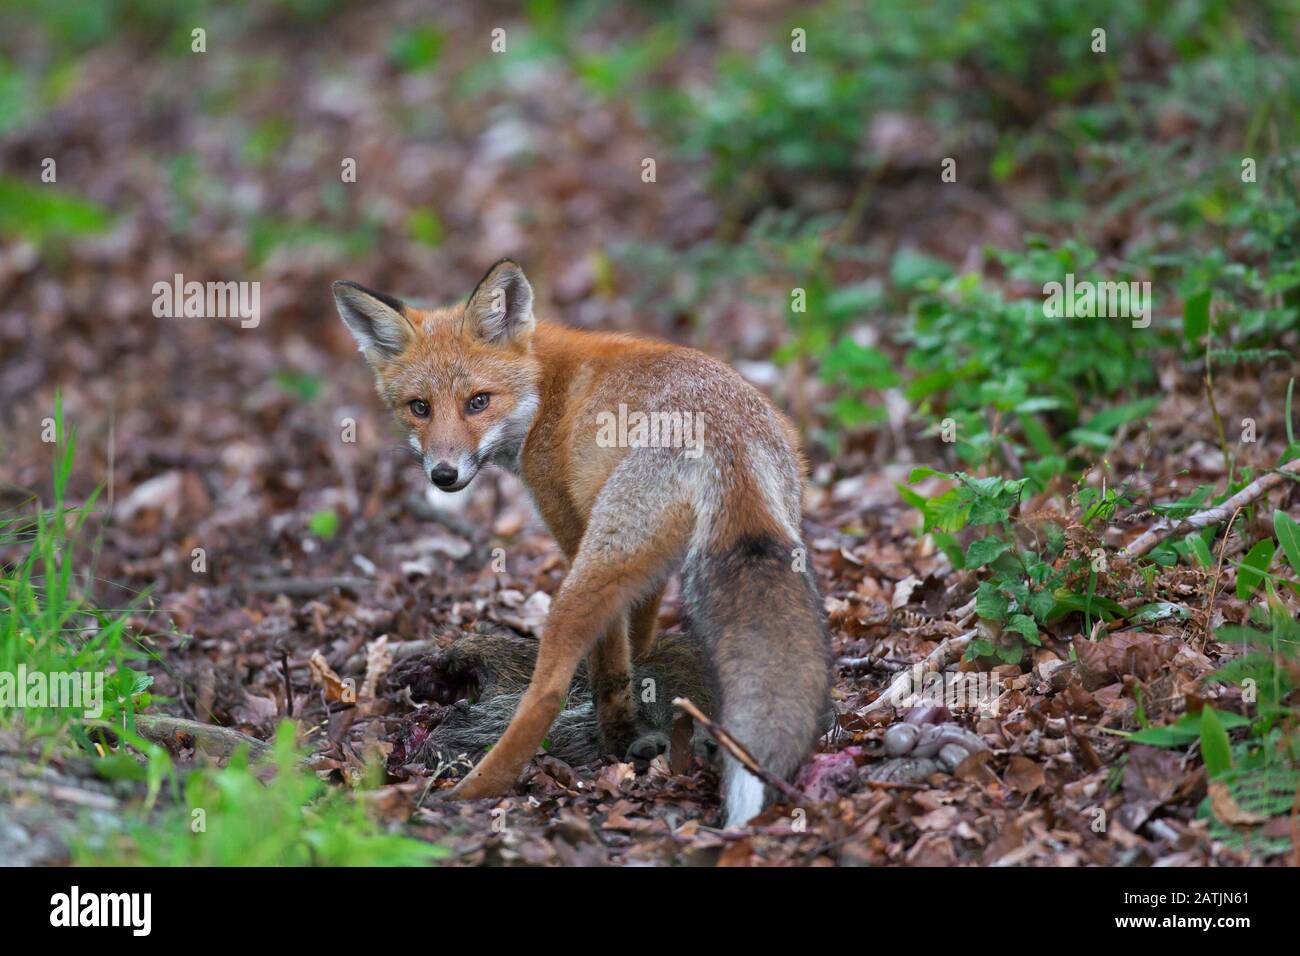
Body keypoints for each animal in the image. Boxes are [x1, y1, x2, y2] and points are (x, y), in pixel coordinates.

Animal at [330, 257, 826, 827]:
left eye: (478, 402)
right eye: (420, 407)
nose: (444, 475)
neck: (544, 390)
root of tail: (729, 438)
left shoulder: (571, 526)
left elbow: (609, 661)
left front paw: (619, 732)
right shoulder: (652, 573)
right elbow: (638, 641)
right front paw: (644, 703)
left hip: (586, 575)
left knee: (546, 692)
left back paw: (478, 787)